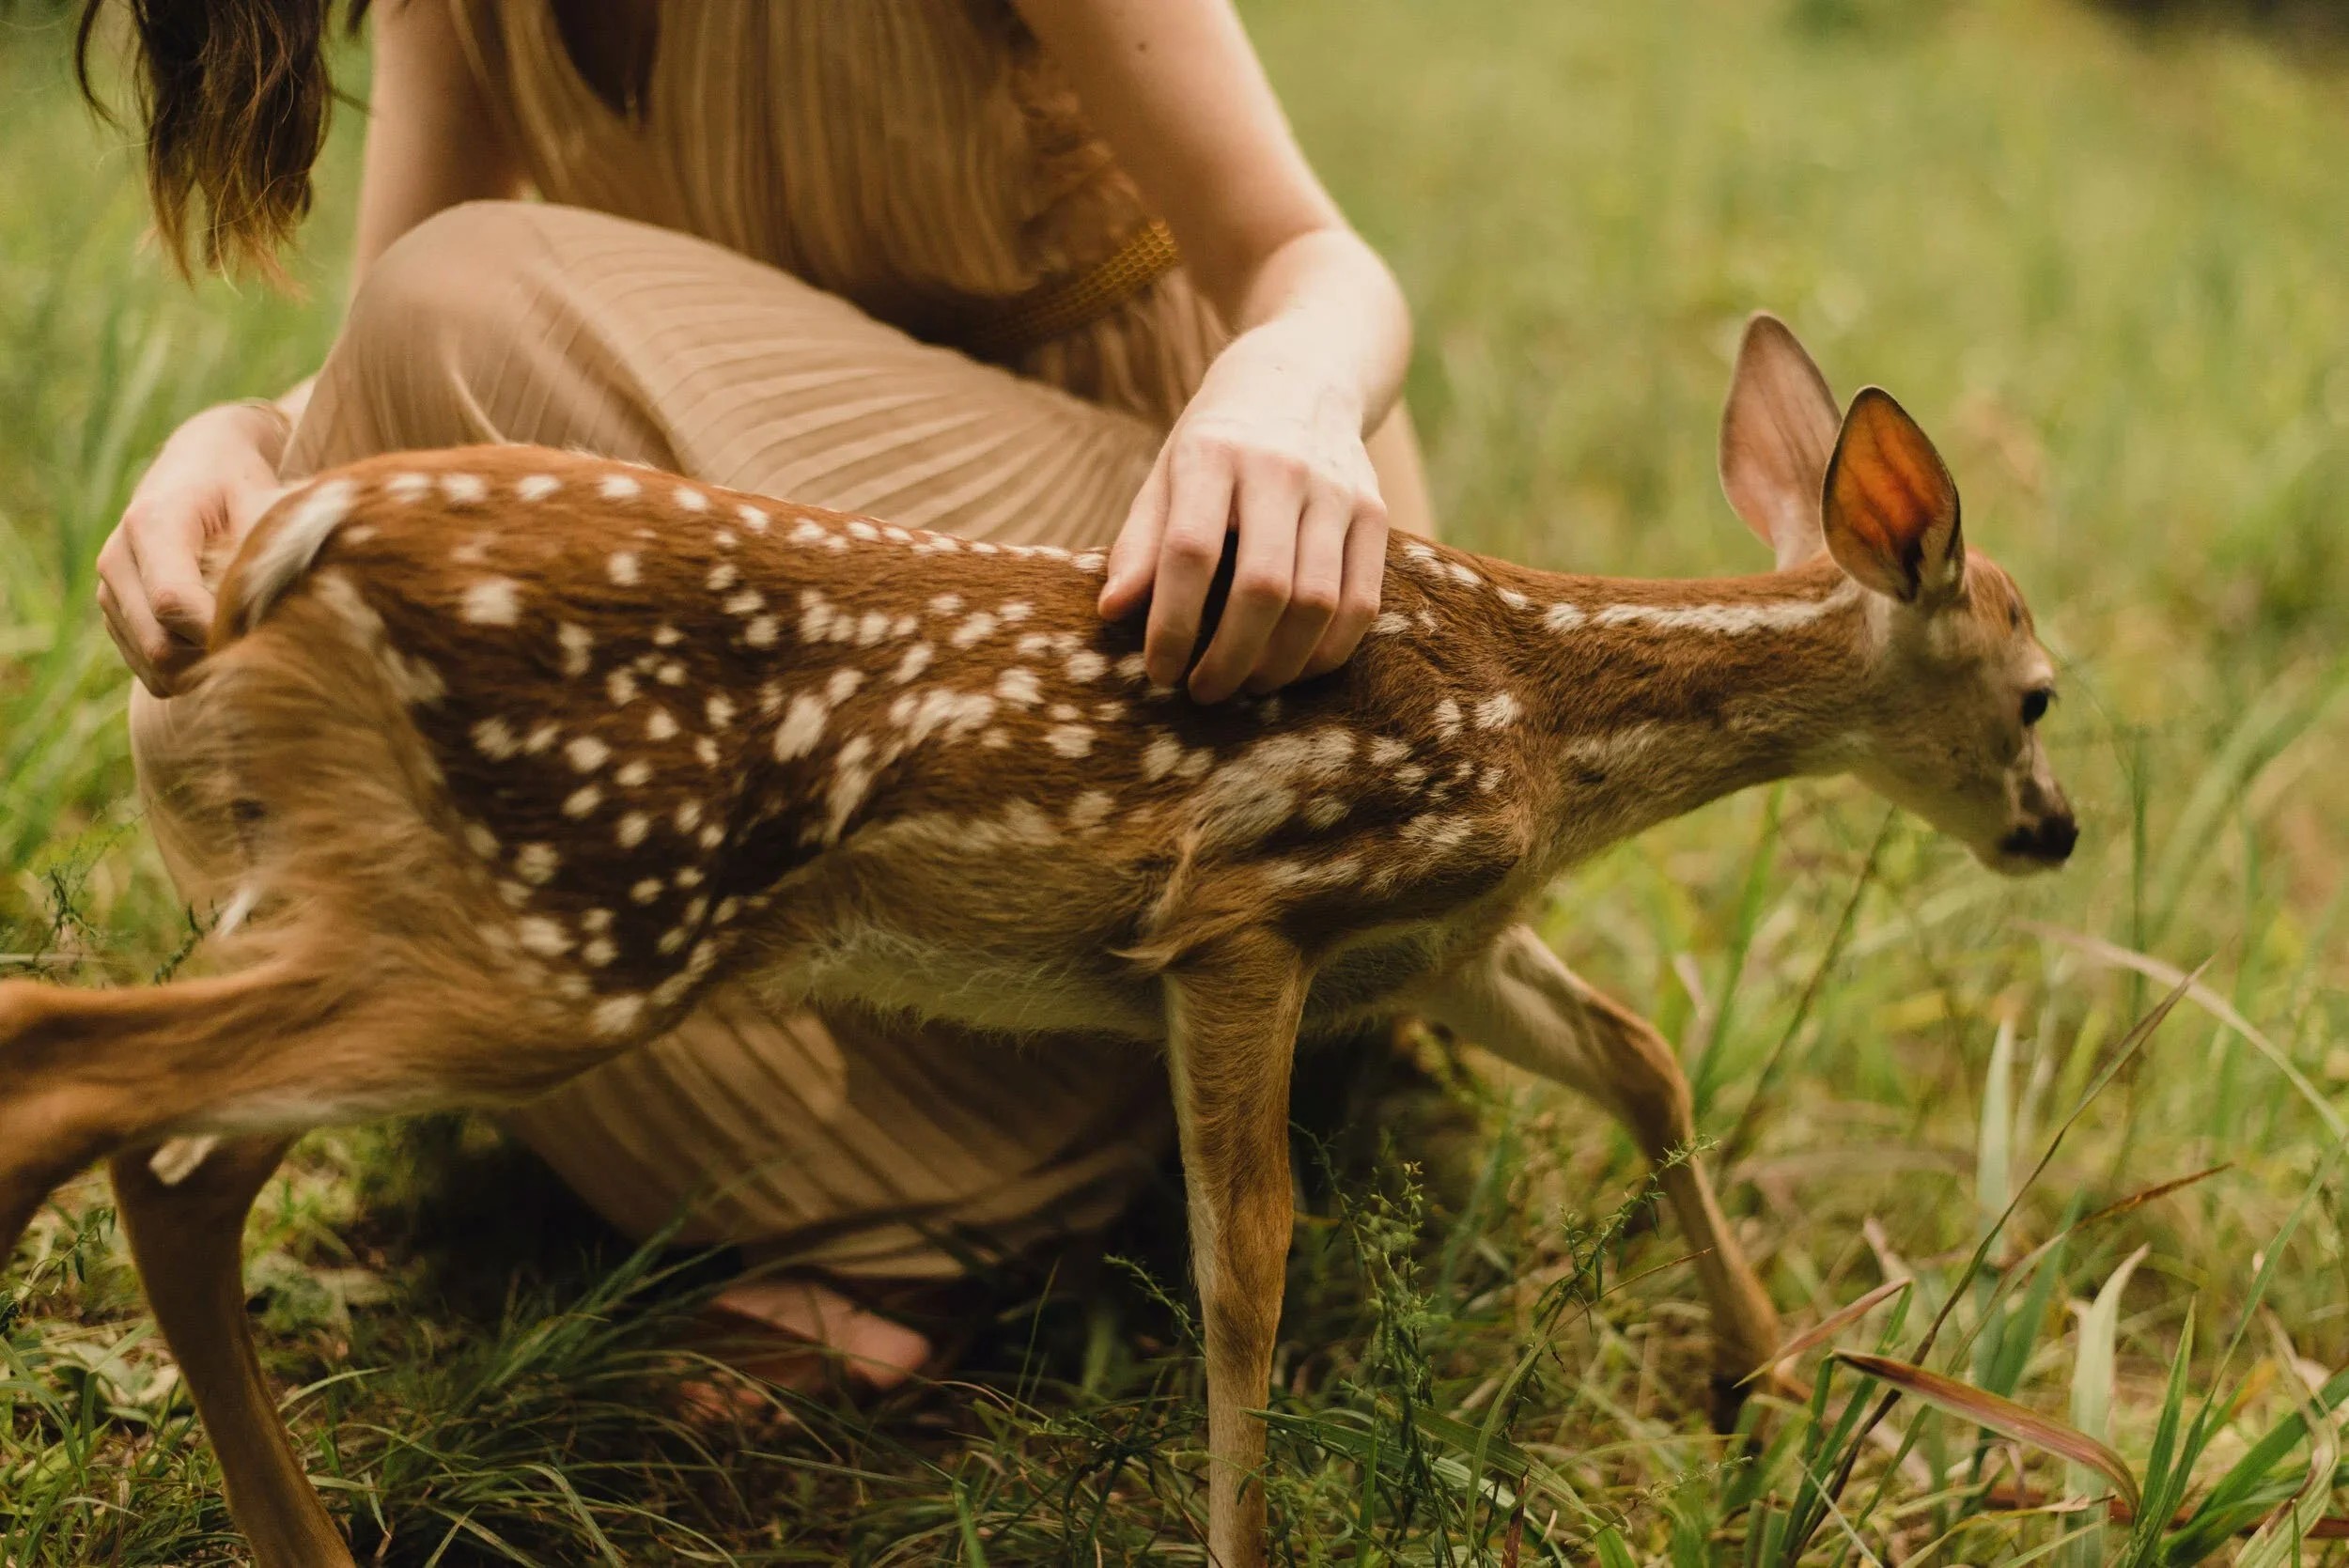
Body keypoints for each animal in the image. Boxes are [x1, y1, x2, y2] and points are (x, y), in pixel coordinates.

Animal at [0, 313, 2072, 1568]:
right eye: (2043, 690)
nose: (2052, 833)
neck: (1548, 720)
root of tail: (292, 539)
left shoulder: (1429, 939)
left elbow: (1636, 1055)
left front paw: (1773, 1382)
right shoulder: (1245, 899)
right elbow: (1245, 1263)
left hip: (373, 891)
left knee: (161, 1155)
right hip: (576, 905)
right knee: (84, 1080)